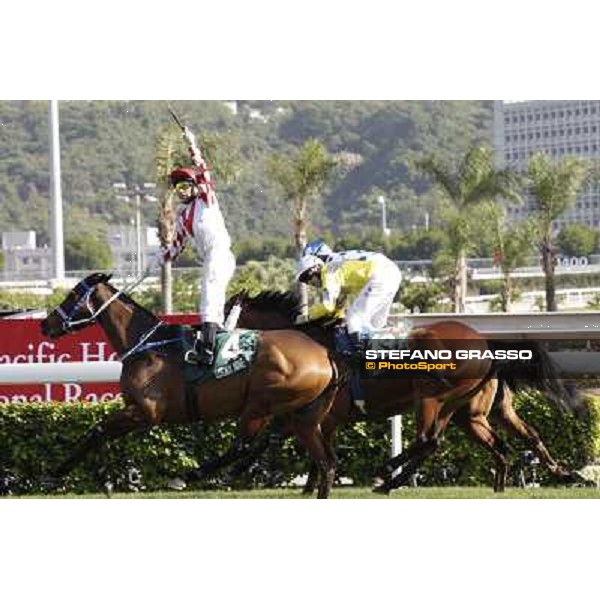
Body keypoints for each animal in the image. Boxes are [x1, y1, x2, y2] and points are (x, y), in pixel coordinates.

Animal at [39, 274, 342, 500]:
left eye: (72, 295)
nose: (45, 324)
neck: (146, 345)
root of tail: (325, 354)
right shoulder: (134, 410)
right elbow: (101, 433)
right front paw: (104, 479)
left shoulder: (146, 413)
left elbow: (97, 430)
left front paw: (55, 474)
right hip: (302, 416)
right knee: (326, 463)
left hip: (260, 404)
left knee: (243, 446)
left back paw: (187, 476)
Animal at [223, 290, 580, 492]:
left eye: (225, 312)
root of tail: (487, 345)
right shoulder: (314, 416)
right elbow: (285, 440)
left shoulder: (321, 415)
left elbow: (276, 439)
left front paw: (238, 469)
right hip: (468, 412)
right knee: (504, 439)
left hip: (431, 396)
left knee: (427, 440)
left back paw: (386, 476)